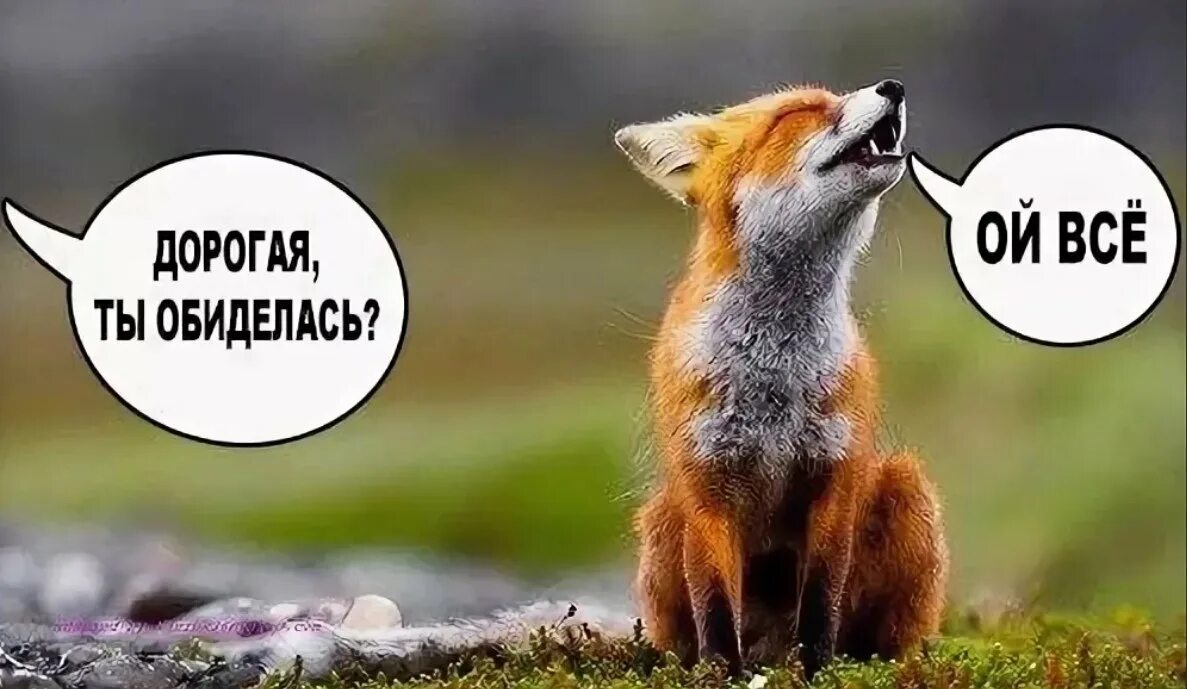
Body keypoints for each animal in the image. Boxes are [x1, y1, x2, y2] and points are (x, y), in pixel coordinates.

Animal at [616, 79, 948, 677]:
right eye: (799, 111)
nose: (893, 86)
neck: (774, 374)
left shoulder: (833, 476)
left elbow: (821, 602)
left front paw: (817, 674)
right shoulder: (707, 488)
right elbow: (715, 611)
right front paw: (721, 677)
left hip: (906, 485)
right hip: (663, 519)